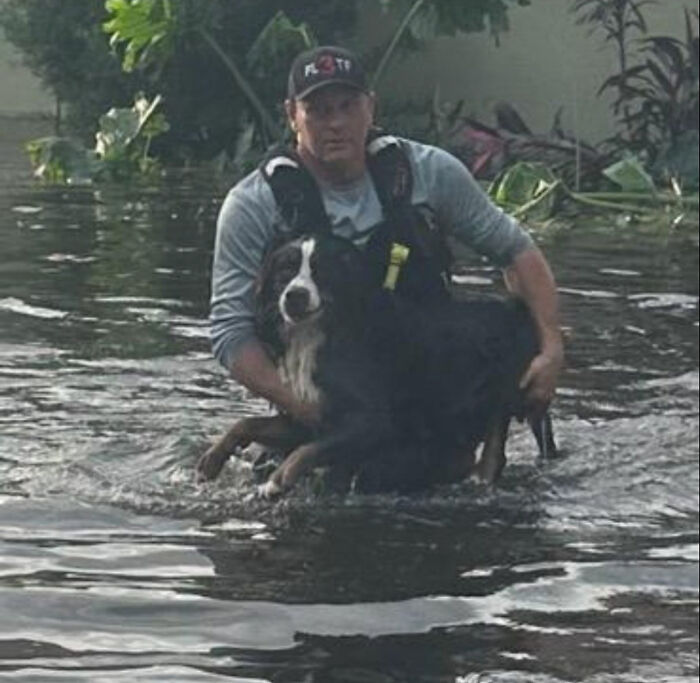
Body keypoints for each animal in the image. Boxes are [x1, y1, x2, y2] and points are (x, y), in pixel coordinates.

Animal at [198, 235, 556, 496]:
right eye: (284, 271)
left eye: (320, 272)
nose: (294, 296)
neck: (319, 333)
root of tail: (519, 307)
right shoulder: (306, 413)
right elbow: (246, 423)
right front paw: (213, 459)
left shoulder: (373, 421)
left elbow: (309, 450)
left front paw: (278, 480)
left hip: (503, 396)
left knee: (492, 454)